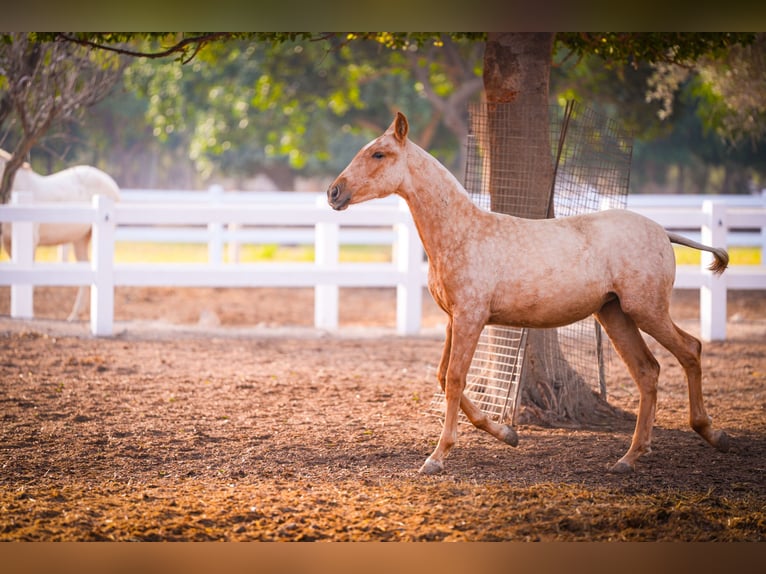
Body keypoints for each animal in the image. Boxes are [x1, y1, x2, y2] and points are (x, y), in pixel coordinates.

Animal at [328, 112, 732, 476]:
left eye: (379, 154)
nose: (334, 192)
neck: (462, 232)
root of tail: (664, 232)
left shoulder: (471, 318)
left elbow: (455, 379)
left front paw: (437, 457)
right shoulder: (454, 320)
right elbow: (444, 377)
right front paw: (507, 433)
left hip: (646, 310)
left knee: (690, 350)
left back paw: (712, 434)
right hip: (614, 314)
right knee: (648, 371)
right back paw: (629, 458)